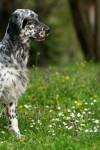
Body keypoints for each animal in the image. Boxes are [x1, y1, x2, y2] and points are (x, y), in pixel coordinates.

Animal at [0, 8, 49, 137]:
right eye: (30, 19)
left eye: (37, 18)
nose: (48, 30)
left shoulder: (11, 93)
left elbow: (13, 118)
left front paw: (17, 135)